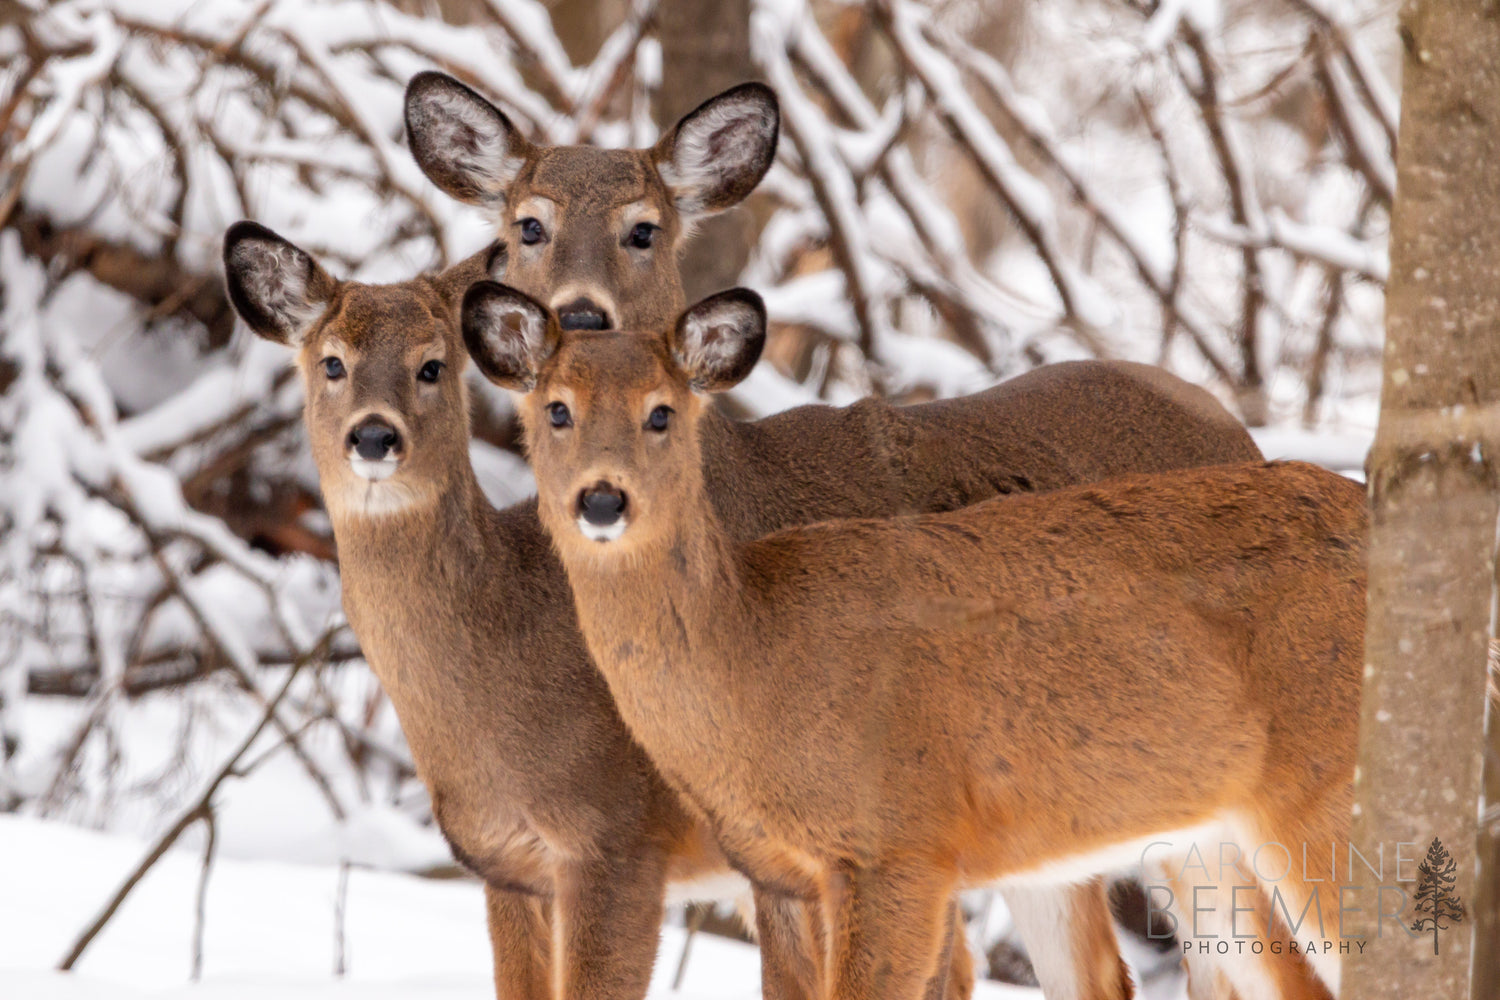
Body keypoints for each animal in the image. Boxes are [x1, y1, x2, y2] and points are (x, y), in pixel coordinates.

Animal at [468, 281, 1374, 1000]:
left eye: (661, 413)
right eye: (555, 410)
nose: (602, 499)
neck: (757, 652)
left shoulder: (898, 848)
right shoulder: (795, 874)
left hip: (1325, 792)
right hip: (1201, 832)